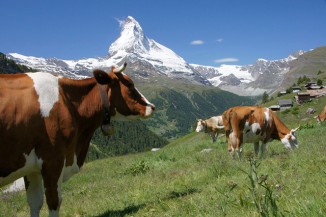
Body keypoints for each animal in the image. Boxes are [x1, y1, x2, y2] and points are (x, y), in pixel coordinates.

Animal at [0, 62, 155, 217]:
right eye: (129, 84)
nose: (152, 106)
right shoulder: (53, 160)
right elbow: (54, 201)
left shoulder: (31, 168)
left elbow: (34, 202)